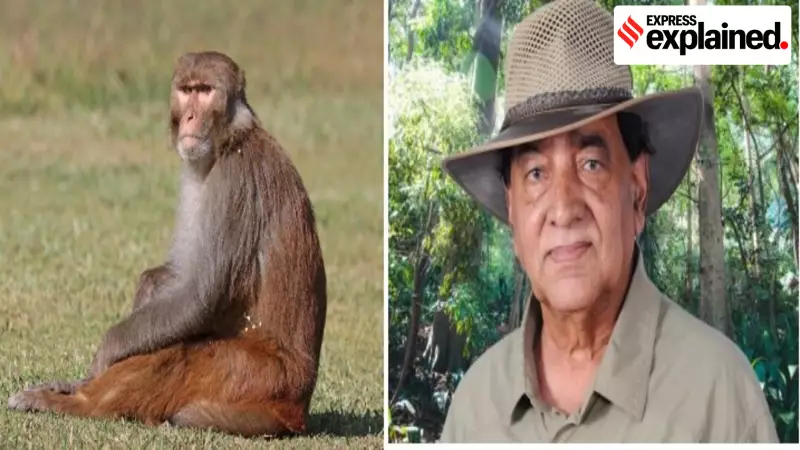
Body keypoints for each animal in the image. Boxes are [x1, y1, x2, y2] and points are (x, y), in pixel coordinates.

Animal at [7, 51, 328, 439]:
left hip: (255, 376)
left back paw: (74, 402)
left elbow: (198, 296)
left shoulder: (234, 180)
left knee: (181, 352)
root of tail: (296, 410)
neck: (229, 141)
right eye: (186, 90)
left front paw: (104, 356)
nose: (189, 117)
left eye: (205, 91)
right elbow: (173, 276)